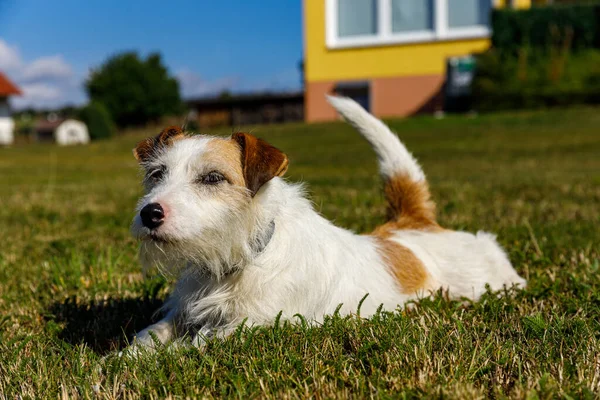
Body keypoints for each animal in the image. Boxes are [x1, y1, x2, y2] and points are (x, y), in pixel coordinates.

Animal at [130, 97, 524, 350]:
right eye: (157, 174)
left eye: (212, 178)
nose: (150, 213)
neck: (244, 255)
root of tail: (415, 222)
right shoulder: (182, 311)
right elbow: (149, 335)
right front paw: (126, 359)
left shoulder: (260, 323)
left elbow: (197, 344)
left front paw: (168, 359)